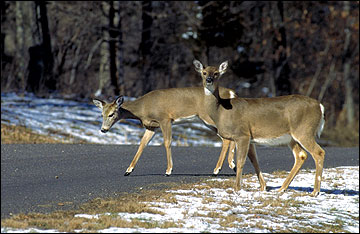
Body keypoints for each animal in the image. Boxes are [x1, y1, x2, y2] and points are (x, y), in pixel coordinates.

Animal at [92, 87, 268, 191]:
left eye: (112, 114)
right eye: (101, 114)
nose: (103, 129)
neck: (143, 108)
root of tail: (232, 93)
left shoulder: (165, 119)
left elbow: (167, 143)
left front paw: (168, 170)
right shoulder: (151, 126)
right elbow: (142, 145)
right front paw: (128, 170)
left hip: (209, 118)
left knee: (226, 139)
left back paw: (218, 169)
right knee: (228, 139)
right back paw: (229, 165)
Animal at [194, 59, 326, 197]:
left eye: (216, 73)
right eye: (204, 72)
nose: (209, 80)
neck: (221, 111)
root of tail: (320, 106)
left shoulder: (242, 134)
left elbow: (240, 162)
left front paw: (237, 188)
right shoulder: (250, 138)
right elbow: (254, 161)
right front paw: (263, 187)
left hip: (304, 131)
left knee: (319, 153)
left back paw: (315, 191)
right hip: (292, 137)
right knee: (301, 155)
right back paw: (282, 188)